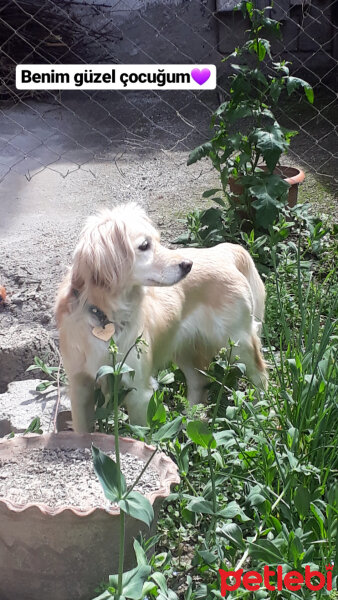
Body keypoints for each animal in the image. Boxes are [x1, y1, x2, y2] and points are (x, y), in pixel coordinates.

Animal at [55, 205, 266, 432]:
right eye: (145, 245)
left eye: (158, 240)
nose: (188, 264)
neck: (105, 316)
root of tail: (222, 251)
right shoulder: (79, 387)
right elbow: (82, 431)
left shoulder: (138, 390)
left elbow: (139, 433)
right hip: (184, 347)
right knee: (199, 382)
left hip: (238, 343)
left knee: (260, 376)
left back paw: (262, 415)